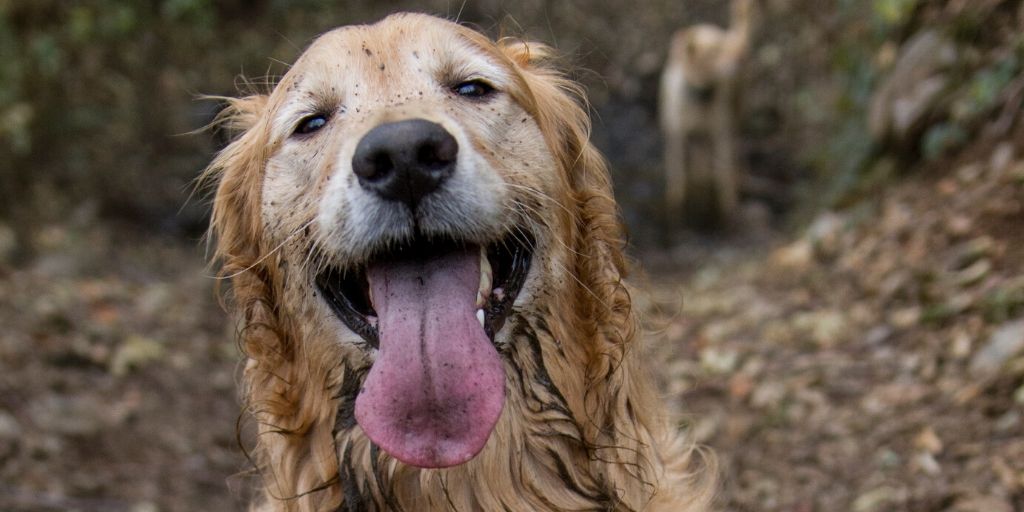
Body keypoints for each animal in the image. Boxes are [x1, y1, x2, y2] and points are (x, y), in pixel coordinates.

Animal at [659, 0, 757, 230]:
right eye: (713, 51)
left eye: (723, 46)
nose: (742, 57)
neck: (700, 95)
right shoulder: (677, 135)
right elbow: (678, 177)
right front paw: (678, 213)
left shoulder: (720, 132)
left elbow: (723, 177)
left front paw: (726, 215)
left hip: (735, 116)